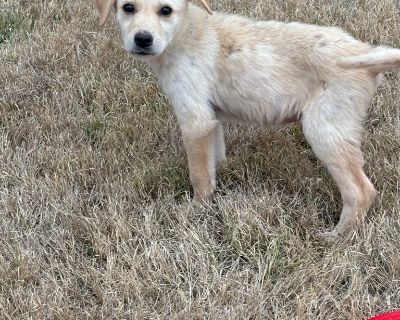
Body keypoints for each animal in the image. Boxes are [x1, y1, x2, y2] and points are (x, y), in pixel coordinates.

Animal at [94, 0, 400, 239]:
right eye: (128, 7)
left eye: (165, 10)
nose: (142, 39)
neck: (185, 33)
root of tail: (363, 52)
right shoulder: (211, 119)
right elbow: (214, 160)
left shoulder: (194, 120)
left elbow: (199, 175)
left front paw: (196, 212)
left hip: (324, 129)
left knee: (361, 191)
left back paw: (337, 237)